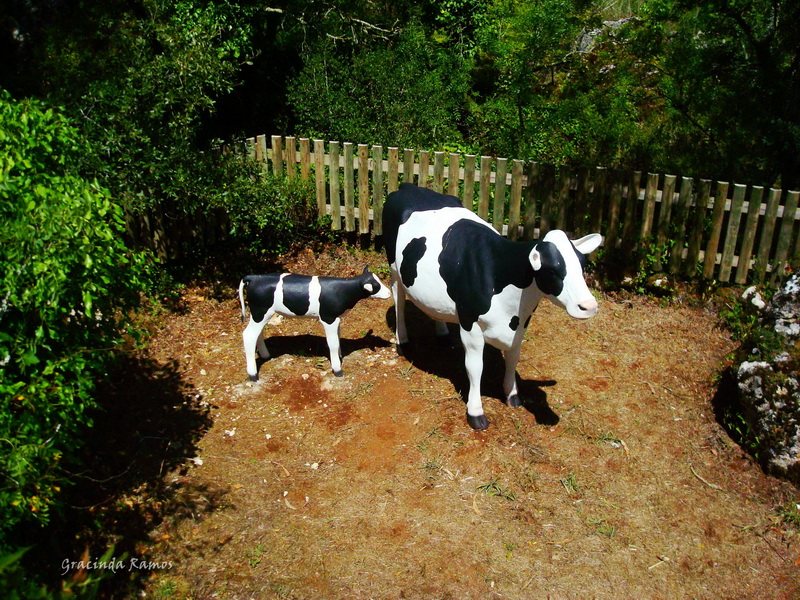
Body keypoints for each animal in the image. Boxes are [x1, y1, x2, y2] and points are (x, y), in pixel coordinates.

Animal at [239, 266, 390, 380]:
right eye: (376, 286)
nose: (389, 293)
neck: (343, 291)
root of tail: (255, 277)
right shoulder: (328, 318)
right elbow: (333, 343)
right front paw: (337, 369)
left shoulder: (336, 319)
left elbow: (337, 338)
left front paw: (339, 357)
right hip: (261, 311)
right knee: (249, 335)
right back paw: (253, 375)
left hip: (260, 314)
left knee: (258, 333)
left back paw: (266, 355)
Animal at [384, 183, 602, 430]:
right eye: (553, 270)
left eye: (582, 265)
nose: (589, 306)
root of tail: (407, 186)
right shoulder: (470, 324)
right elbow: (474, 367)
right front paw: (475, 412)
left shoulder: (521, 325)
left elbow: (514, 357)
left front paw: (512, 394)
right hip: (394, 268)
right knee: (399, 301)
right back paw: (403, 341)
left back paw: (442, 334)